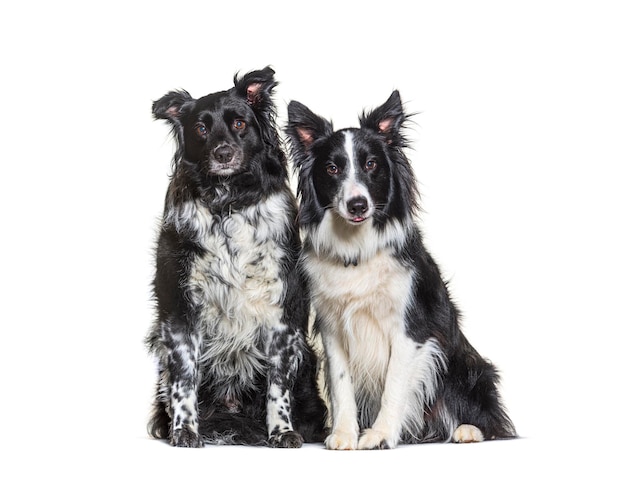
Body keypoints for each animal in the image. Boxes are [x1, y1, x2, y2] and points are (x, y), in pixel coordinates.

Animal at [143, 66, 324, 448]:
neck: (228, 202)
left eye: (239, 123)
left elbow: (278, 385)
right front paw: (185, 430)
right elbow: (184, 378)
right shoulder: (179, 309)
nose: (223, 153)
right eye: (201, 129)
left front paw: (282, 431)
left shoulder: (282, 313)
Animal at [286, 91, 516, 450]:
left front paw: (380, 435)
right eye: (332, 168)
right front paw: (344, 434)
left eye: (371, 164)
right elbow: (340, 384)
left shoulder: (412, 330)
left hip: (466, 365)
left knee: (490, 419)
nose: (357, 205)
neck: (358, 249)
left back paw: (467, 430)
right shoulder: (332, 329)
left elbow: (394, 384)